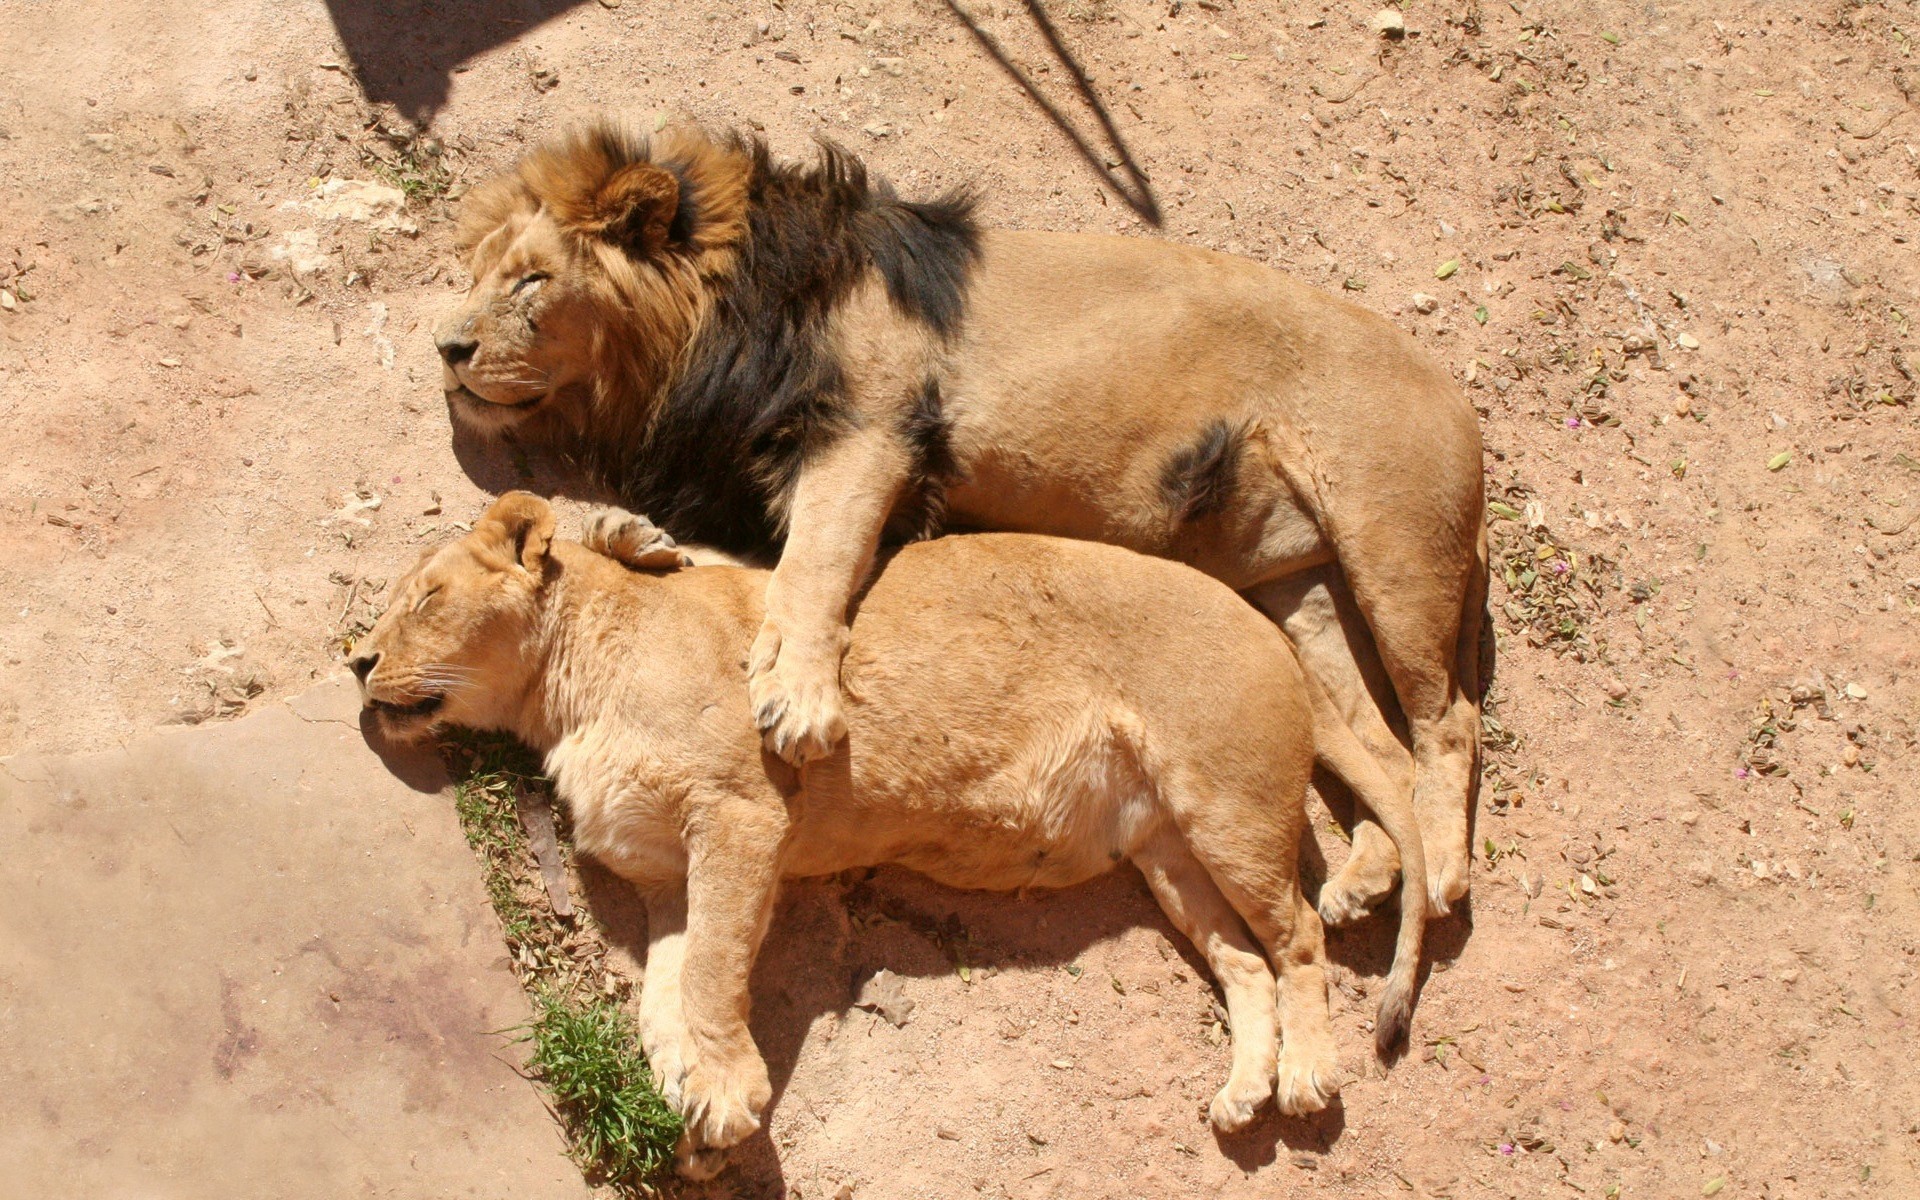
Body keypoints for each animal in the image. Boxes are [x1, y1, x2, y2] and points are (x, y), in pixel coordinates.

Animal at [350, 493, 1429, 1178]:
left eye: (425, 599)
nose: (357, 660)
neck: (563, 697)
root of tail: (1268, 623)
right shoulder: (664, 877)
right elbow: (662, 996)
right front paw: (689, 1110)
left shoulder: (742, 817)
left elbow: (711, 974)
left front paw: (728, 1097)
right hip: (1165, 854)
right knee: (1246, 962)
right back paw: (1245, 1089)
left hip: (1228, 807)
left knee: (1300, 935)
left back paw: (1306, 1075)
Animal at [432, 123, 1487, 920]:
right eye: (475, 274)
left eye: (530, 281)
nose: (446, 346)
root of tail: (1457, 392)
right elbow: (744, 567)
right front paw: (634, 540)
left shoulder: (873, 430)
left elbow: (813, 565)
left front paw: (799, 698)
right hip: (1293, 592)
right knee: (1378, 746)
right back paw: (1368, 877)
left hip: (1396, 552)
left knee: (1448, 722)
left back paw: (1438, 874)